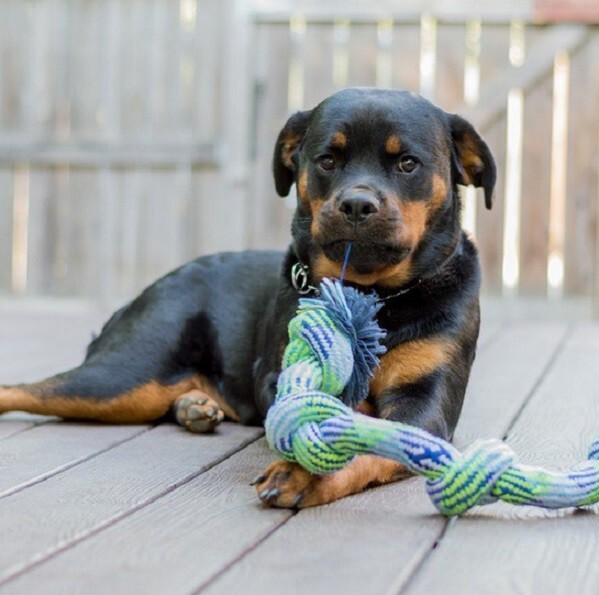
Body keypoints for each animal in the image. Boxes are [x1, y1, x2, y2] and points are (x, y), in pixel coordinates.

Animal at [1, 87, 496, 508]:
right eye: (327, 160)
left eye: (408, 163)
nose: (357, 204)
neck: (371, 296)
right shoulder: (279, 373)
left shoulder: (425, 404)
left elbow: (367, 436)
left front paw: (304, 472)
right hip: (124, 374)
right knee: (27, 389)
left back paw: (194, 406)